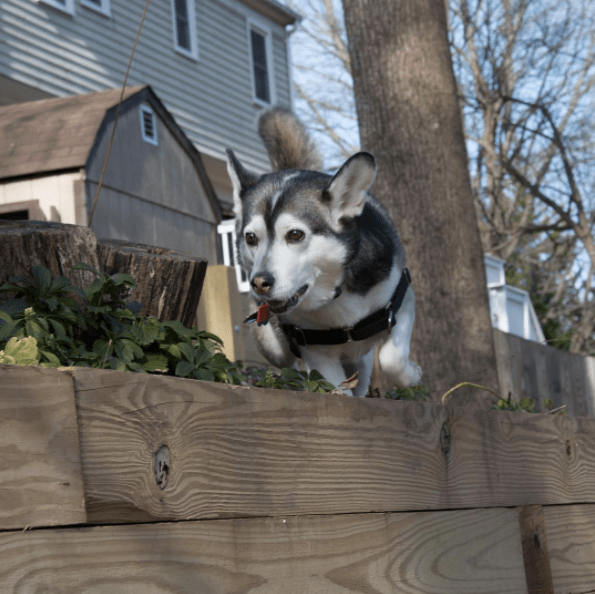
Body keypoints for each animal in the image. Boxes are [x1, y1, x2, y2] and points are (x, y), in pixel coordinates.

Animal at [225, 108, 424, 396]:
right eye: (251, 237)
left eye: (295, 235)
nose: (260, 283)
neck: (334, 296)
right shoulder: (318, 355)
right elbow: (337, 390)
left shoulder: (402, 300)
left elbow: (392, 360)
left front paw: (413, 375)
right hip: (274, 346)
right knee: (289, 366)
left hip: (360, 361)